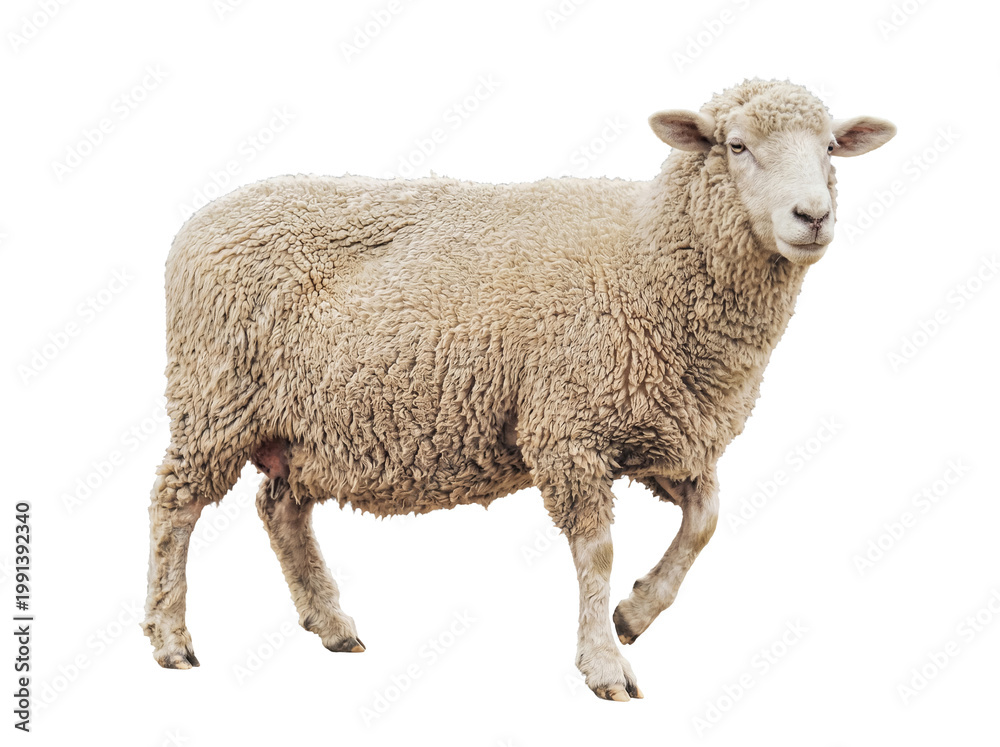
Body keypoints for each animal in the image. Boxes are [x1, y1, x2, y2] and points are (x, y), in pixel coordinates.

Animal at [142, 79, 895, 701]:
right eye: (736, 145)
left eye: (830, 146)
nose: (812, 216)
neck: (649, 256)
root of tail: (197, 222)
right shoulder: (568, 429)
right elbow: (597, 551)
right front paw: (604, 663)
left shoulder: (660, 429)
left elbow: (706, 520)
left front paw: (635, 612)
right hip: (214, 397)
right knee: (174, 506)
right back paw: (171, 637)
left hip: (301, 427)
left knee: (280, 509)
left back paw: (331, 624)